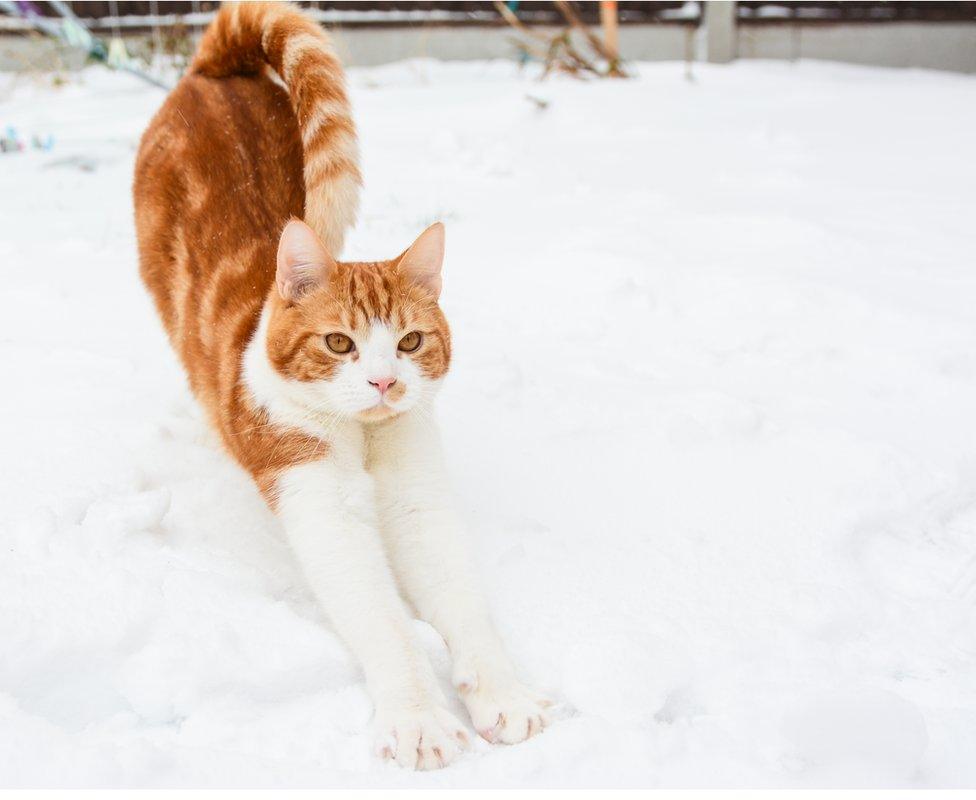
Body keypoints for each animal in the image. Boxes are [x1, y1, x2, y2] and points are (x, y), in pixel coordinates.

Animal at [134, 3, 552, 772]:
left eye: (410, 341)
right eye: (339, 344)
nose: (385, 382)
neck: (365, 437)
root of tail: (214, 68)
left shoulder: (419, 504)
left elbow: (464, 603)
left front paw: (503, 695)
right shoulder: (321, 508)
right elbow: (384, 623)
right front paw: (418, 721)